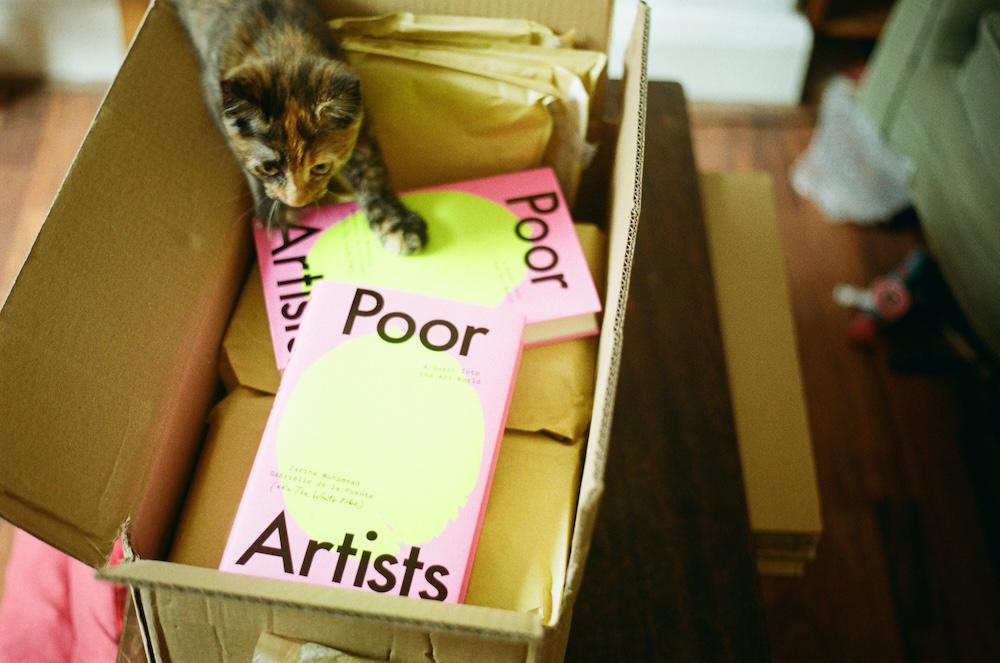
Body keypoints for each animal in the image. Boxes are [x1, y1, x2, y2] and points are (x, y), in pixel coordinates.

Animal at [176, 0, 426, 254]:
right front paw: (272, 210)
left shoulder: (358, 114)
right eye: (268, 168)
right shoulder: (214, 95)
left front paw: (396, 223)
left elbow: (369, 168)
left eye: (321, 167)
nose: (297, 201)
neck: (280, 40)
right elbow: (240, 156)